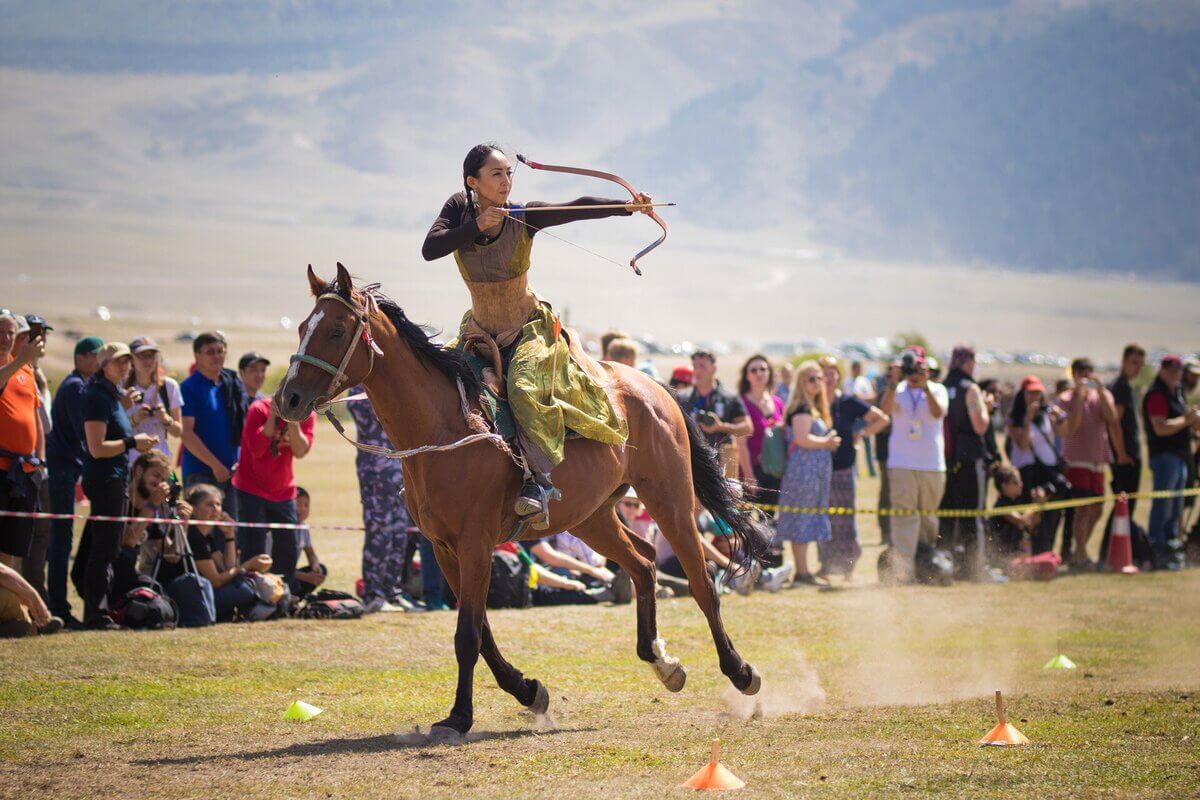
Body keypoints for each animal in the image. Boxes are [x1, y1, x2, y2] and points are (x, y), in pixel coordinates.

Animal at [276, 266, 768, 743]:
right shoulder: (445, 549)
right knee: (644, 562)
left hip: (670, 500)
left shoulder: (474, 545)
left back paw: (741, 672)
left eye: (336, 330)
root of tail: (652, 387)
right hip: (591, 517)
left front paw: (459, 717)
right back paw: (663, 663)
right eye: (301, 327)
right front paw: (529, 691)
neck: (444, 428)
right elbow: (481, 632)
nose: (288, 399)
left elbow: (467, 634)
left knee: (701, 580)